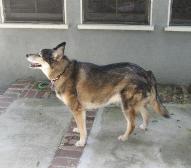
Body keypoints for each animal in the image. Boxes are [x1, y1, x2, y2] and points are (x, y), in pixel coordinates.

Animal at [26, 42, 169, 147]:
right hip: (135, 103)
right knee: (146, 114)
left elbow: (82, 128)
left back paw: (124, 137)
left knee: (132, 123)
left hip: (126, 105)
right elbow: (81, 125)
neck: (63, 72)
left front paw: (82, 142)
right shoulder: (80, 110)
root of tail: (145, 71)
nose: (26, 54)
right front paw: (79, 131)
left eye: (39, 54)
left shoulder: (76, 109)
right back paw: (144, 126)